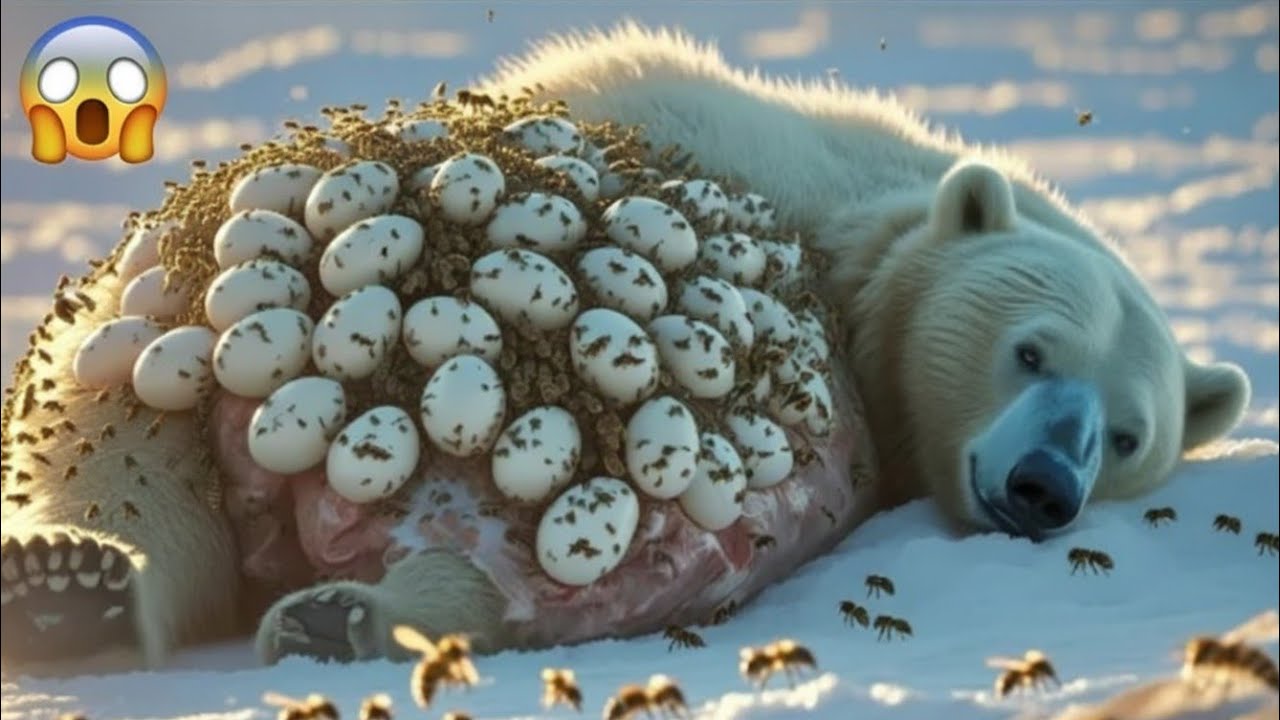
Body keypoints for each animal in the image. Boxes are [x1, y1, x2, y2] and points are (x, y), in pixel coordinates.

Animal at [0, 22, 1251, 671]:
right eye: (1029, 353)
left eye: (1126, 434)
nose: (1044, 484)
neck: (857, 221)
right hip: (169, 311)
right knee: (116, 442)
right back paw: (73, 580)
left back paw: (327, 616)